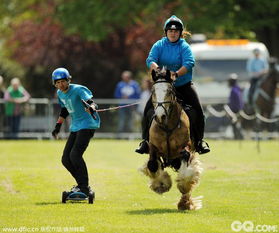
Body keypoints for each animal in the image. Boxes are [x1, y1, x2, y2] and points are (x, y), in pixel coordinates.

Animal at [140, 67, 203, 211]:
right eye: (153, 91)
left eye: (169, 91)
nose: (160, 116)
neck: (167, 125)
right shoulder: (153, 147)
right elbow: (152, 165)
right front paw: (161, 185)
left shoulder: (186, 147)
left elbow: (186, 165)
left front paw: (184, 190)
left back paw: (185, 203)